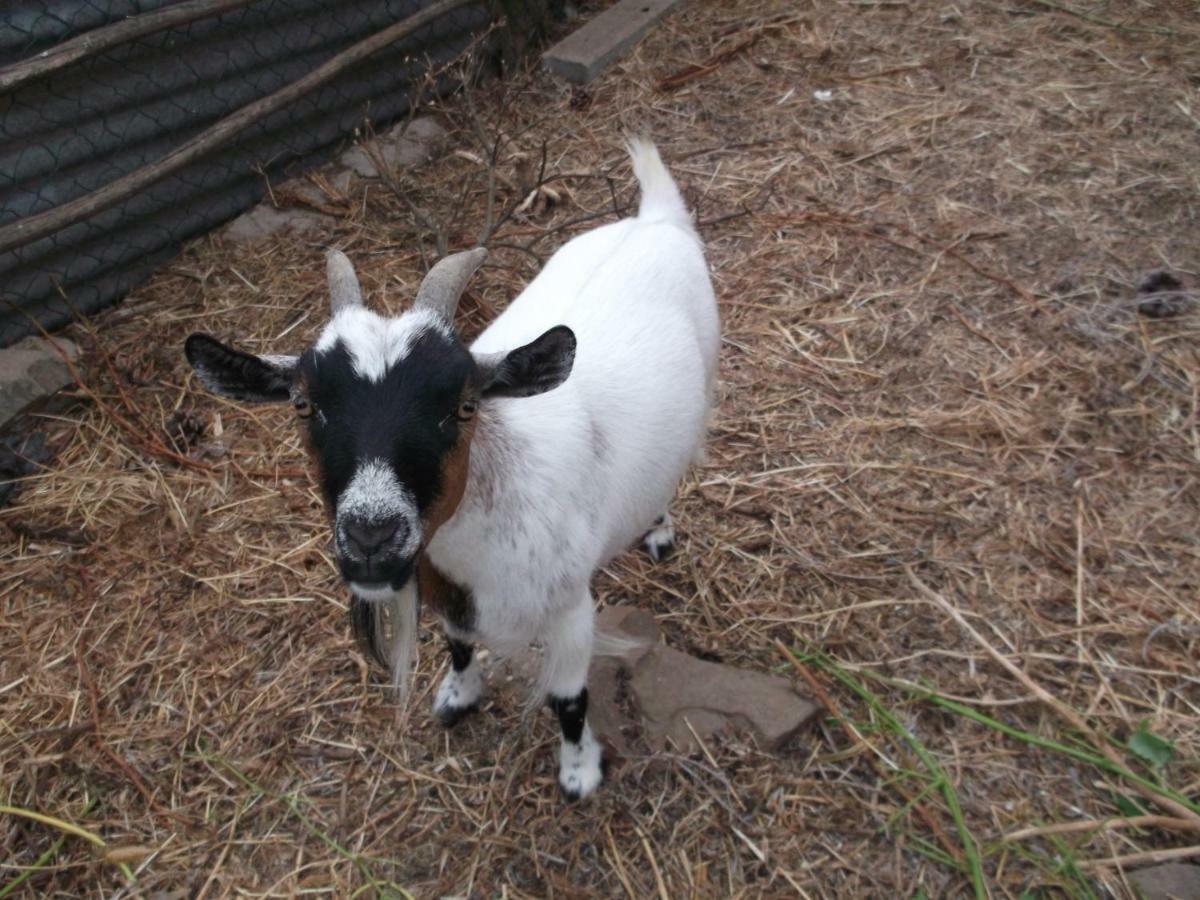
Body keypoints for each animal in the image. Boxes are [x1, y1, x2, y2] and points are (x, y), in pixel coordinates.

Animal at [182, 137, 715, 801]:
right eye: (304, 404)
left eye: (463, 406)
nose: (372, 538)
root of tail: (655, 218)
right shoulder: (446, 595)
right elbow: (459, 647)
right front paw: (457, 699)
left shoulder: (571, 609)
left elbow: (568, 700)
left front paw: (579, 774)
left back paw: (660, 531)